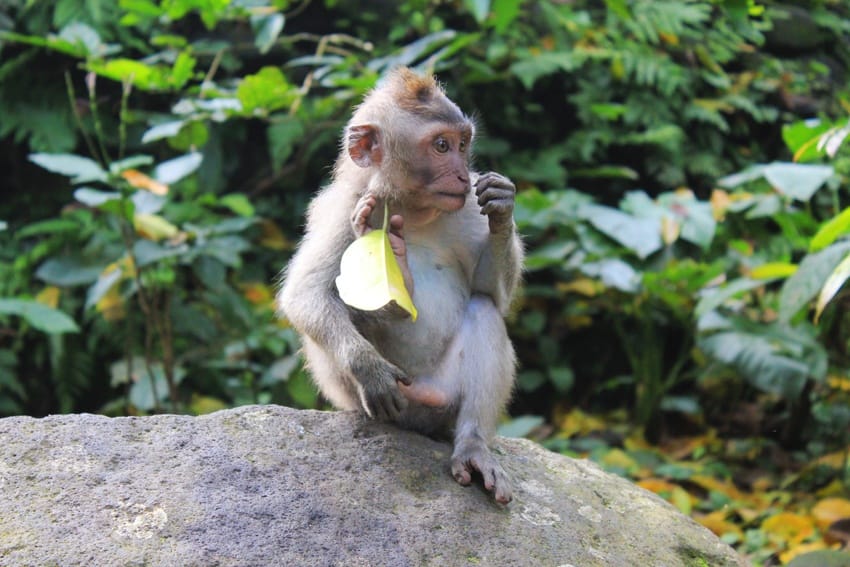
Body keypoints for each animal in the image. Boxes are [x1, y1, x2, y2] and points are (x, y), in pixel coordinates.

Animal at [274, 67, 520, 506]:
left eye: (462, 144)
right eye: (441, 146)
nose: (462, 174)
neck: (409, 207)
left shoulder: (466, 208)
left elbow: (492, 292)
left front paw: (502, 207)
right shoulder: (346, 209)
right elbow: (305, 294)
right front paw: (369, 368)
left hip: (443, 397)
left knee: (483, 309)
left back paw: (473, 447)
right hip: (369, 402)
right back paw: (392, 296)